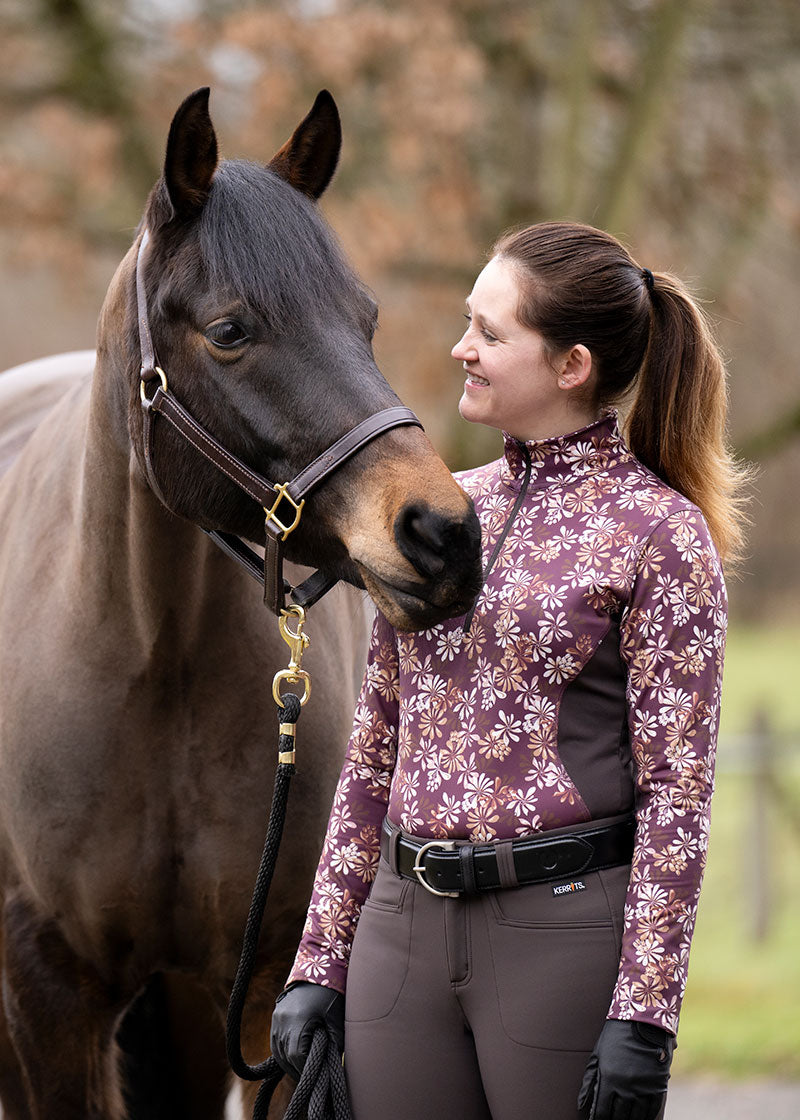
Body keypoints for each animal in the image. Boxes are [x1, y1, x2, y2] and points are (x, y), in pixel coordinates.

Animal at [0, 89, 479, 1120]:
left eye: (365, 318)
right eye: (230, 331)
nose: (444, 533)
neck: (153, 658)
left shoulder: (270, 986)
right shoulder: (48, 990)